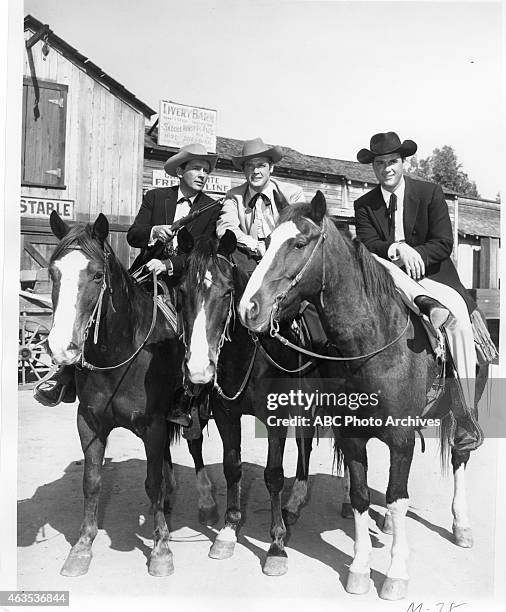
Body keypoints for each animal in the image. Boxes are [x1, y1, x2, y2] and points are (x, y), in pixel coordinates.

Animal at [44, 212, 216, 580]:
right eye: (53, 272)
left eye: (97, 275)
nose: (61, 347)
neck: (120, 356)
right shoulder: (89, 423)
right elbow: (92, 481)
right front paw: (82, 546)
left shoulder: (153, 425)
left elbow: (152, 482)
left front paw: (161, 549)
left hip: (192, 411)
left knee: (194, 445)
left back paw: (206, 501)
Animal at [179, 227, 316, 576]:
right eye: (182, 289)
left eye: (227, 292)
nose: (198, 368)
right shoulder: (226, 414)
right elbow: (232, 467)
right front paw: (228, 530)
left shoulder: (277, 417)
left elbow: (274, 475)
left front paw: (277, 544)